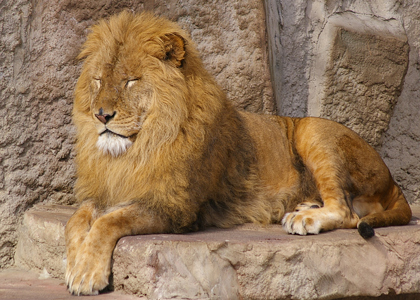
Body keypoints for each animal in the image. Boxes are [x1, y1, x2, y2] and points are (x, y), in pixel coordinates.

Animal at [65, 11, 410, 296]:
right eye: (98, 80)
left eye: (130, 81)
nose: (100, 116)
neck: (134, 150)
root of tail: (394, 182)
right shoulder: (104, 191)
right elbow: (77, 219)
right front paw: (74, 262)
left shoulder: (175, 207)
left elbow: (109, 222)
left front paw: (85, 274)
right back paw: (304, 206)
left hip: (313, 129)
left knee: (347, 212)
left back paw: (304, 218)